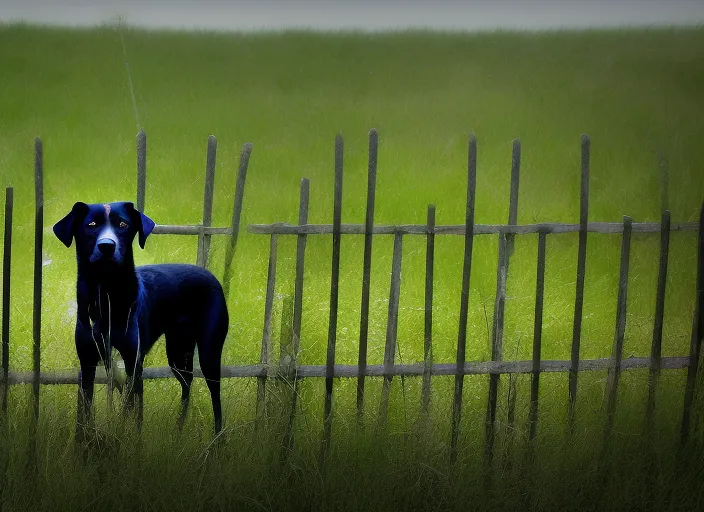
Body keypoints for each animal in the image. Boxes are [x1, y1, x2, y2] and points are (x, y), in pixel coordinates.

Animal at [53, 200, 228, 436]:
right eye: (91, 225)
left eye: (123, 224)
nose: (107, 246)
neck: (106, 295)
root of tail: (209, 274)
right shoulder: (88, 362)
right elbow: (87, 411)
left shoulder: (133, 362)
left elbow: (131, 410)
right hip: (178, 351)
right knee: (187, 384)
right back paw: (178, 431)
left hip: (209, 353)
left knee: (215, 398)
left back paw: (216, 438)